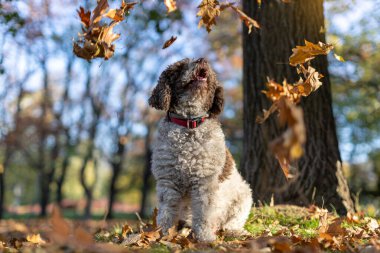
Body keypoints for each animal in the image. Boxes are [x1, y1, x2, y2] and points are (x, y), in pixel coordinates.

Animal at [148, 58, 252, 242]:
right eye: (182, 66)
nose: (202, 59)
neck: (189, 125)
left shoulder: (204, 182)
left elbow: (204, 213)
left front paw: (205, 238)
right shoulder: (168, 181)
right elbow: (167, 213)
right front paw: (162, 235)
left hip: (244, 196)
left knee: (231, 223)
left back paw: (234, 232)